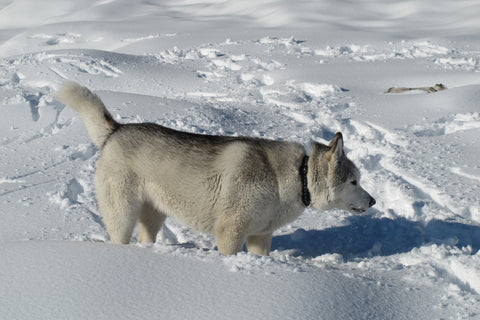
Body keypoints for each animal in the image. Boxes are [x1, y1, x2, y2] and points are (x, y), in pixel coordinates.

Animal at [56, 82, 376, 255]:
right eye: (354, 182)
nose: (373, 201)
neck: (297, 176)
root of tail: (117, 130)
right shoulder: (230, 232)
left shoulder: (260, 236)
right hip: (122, 214)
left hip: (154, 213)